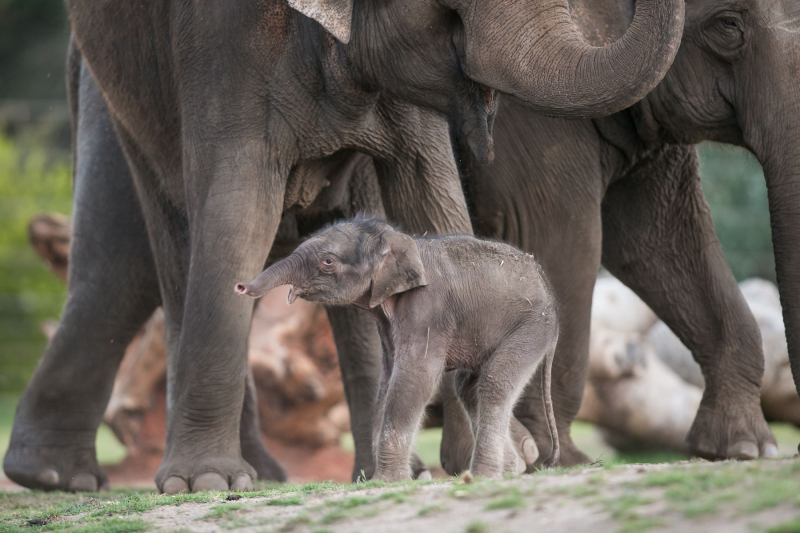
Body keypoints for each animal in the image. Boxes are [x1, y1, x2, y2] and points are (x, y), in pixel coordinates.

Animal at [238, 216, 560, 478]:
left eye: (327, 261)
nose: (240, 287)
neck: (399, 240)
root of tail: (548, 288)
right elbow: (388, 378)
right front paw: (391, 477)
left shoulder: (428, 308)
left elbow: (416, 376)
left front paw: (387, 480)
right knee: (468, 388)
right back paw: (510, 470)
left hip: (532, 326)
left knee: (494, 382)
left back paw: (484, 475)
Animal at [446, 0, 796, 468]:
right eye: (728, 24)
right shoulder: (530, 122)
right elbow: (566, 236)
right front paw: (555, 458)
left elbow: (656, 239)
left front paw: (742, 449)